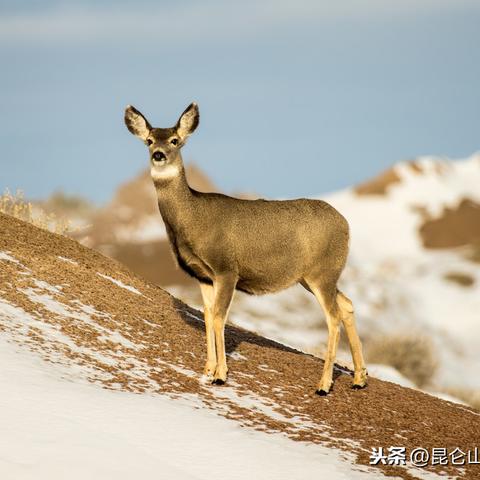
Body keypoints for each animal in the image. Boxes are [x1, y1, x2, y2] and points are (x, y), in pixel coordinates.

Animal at [124, 101, 368, 394]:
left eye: (174, 140)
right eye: (149, 140)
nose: (159, 155)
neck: (193, 218)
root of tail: (346, 224)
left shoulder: (227, 269)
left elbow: (220, 317)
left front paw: (220, 375)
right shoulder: (203, 276)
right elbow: (208, 316)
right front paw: (207, 370)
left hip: (322, 273)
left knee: (333, 317)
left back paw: (324, 385)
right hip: (314, 276)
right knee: (347, 304)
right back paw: (359, 379)